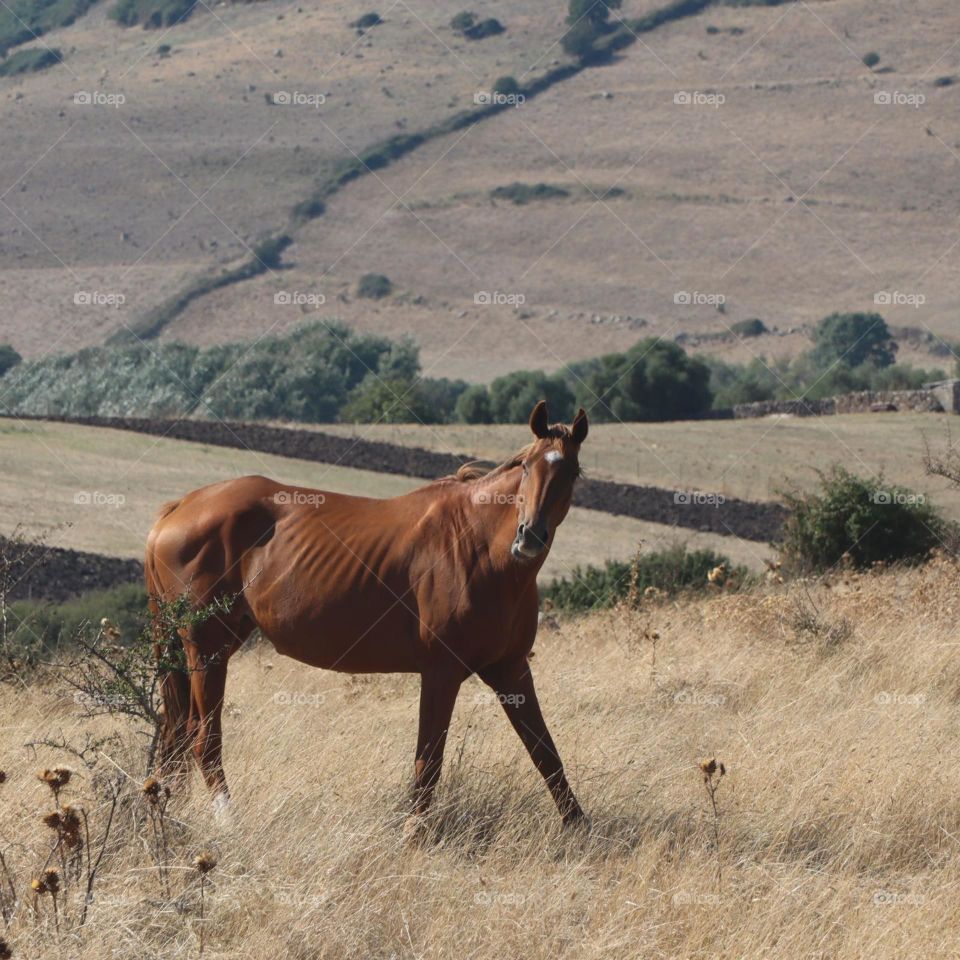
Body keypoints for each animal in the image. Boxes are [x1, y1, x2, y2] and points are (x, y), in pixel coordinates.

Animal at [145, 400, 589, 828]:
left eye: (572, 473)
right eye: (527, 466)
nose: (528, 537)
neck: (476, 548)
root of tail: (179, 508)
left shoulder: (510, 668)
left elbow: (546, 754)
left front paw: (580, 829)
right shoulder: (441, 672)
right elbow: (428, 763)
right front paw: (414, 835)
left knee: (178, 736)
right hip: (206, 649)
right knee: (203, 740)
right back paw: (227, 820)